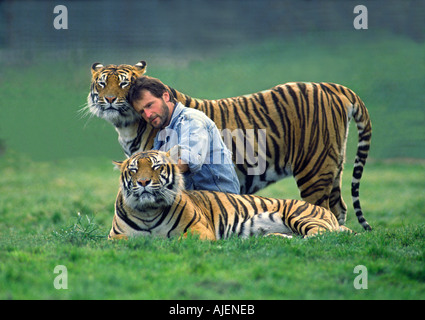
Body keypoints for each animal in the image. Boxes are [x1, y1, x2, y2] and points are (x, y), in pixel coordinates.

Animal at [86, 60, 372, 230]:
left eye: (125, 83)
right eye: (102, 83)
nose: (108, 99)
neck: (126, 125)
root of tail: (332, 86)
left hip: (314, 168)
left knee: (322, 209)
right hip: (334, 166)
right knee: (339, 207)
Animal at [109, 149, 352, 239]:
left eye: (156, 167)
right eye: (133, 170)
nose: (143, 182)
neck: (148, 211)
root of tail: (325, 211)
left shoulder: (200, 231)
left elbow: (177, 240)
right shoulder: (116, 238)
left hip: (300, 215)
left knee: (320, 235)